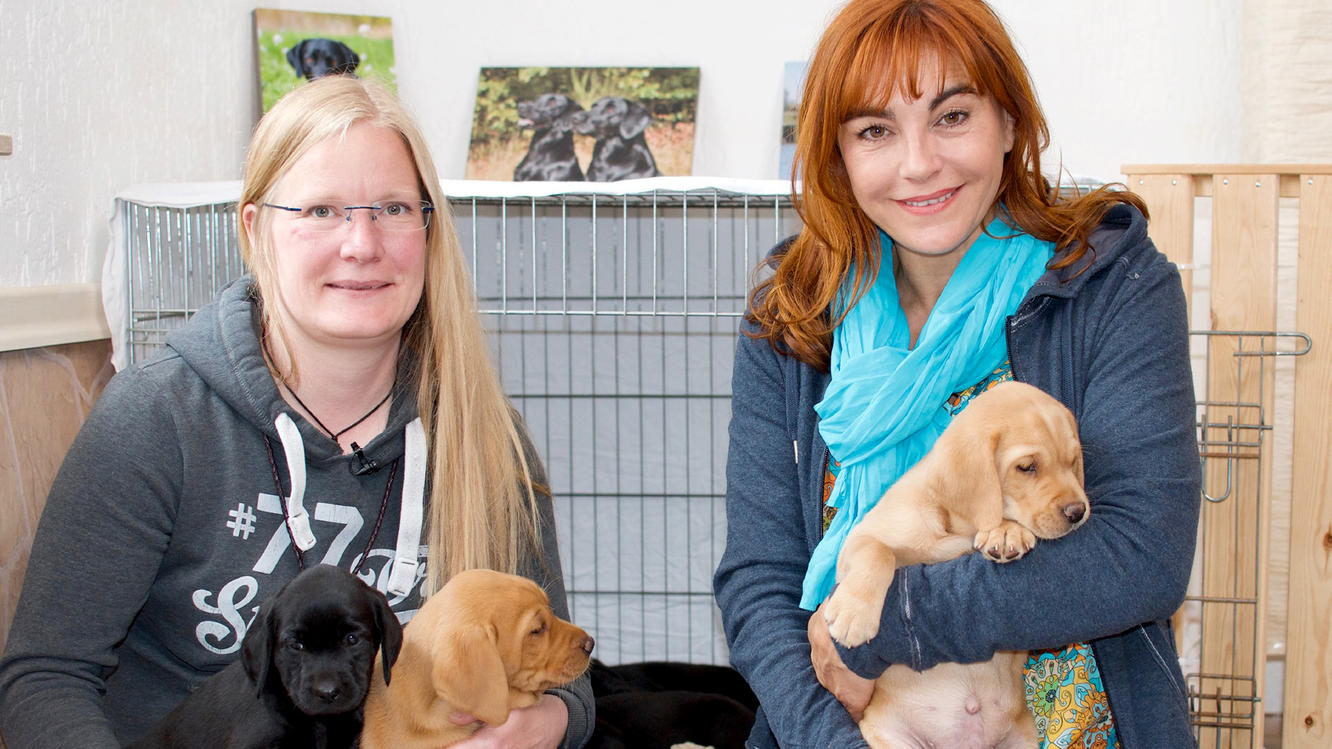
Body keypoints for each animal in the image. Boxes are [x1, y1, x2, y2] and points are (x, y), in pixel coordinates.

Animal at [820, 381, 1092, 746]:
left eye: (1073, 462)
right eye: (1026, 467)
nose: (1079, 512)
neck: (955, 529)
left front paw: (1006, 531)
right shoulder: (860, 539)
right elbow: (879, 552)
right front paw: (854, 615)